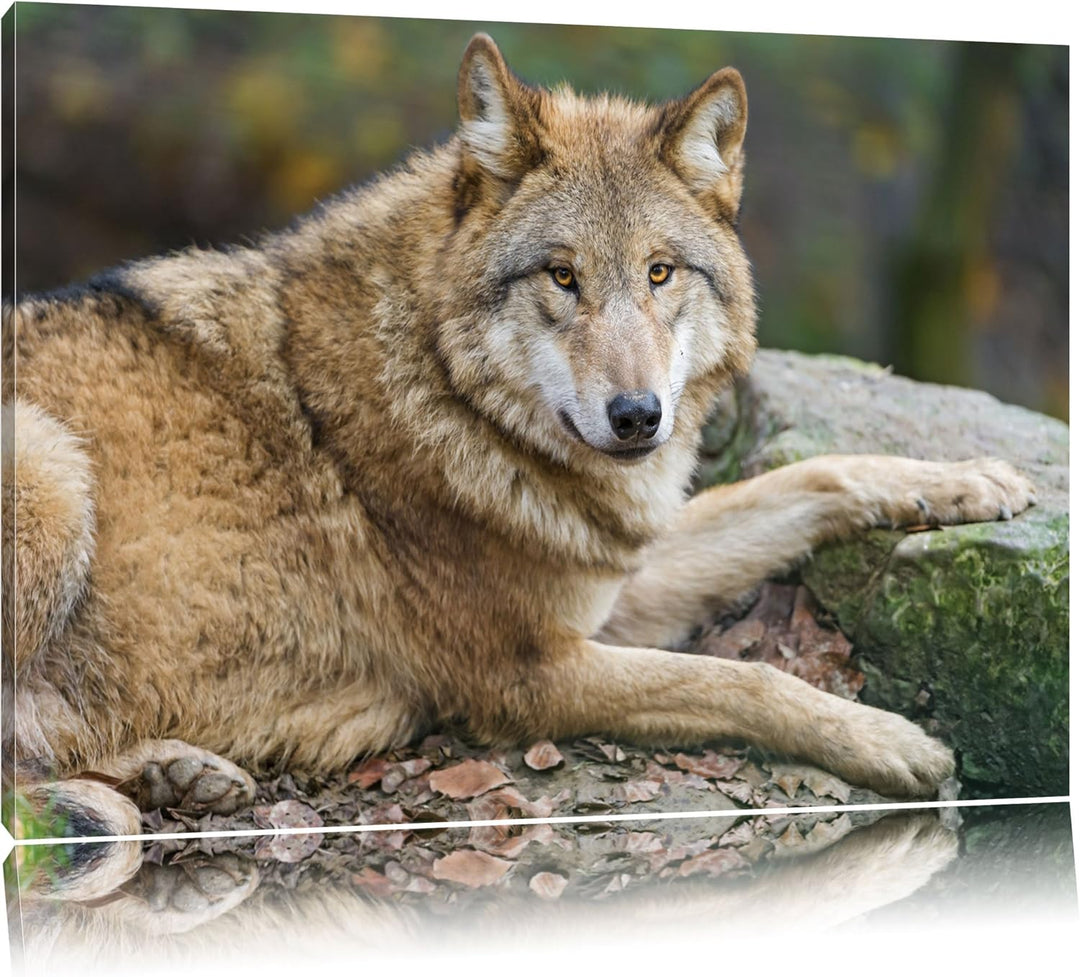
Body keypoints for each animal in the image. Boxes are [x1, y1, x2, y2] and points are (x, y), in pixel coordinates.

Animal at [2, 34, 1035, 845]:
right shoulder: (530, 673)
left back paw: (175, 773)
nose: (637, 416)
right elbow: (741, 680)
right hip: (51, 468)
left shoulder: (616, 583)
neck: (446, 390)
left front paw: (972, 481)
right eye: (562, 276)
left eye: (659, 273)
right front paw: (893, 741)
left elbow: (807, 477)